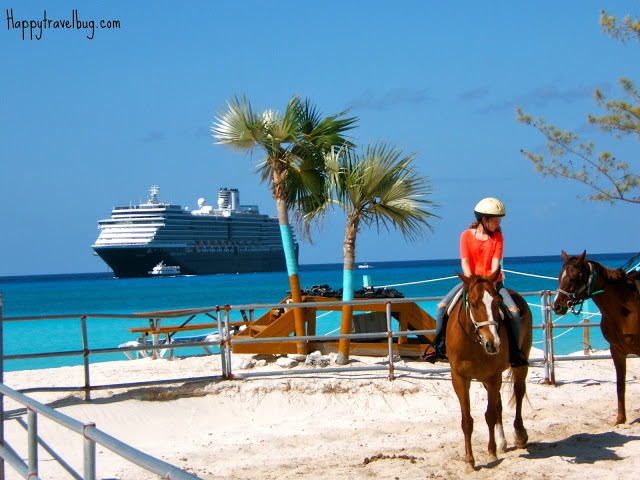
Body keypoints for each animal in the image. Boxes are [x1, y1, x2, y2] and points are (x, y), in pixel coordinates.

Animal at [444, 268, 528, 470]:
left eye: (497, 303)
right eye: (473, 304)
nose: (494, 344)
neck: (474, 342)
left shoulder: (494, 376)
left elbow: (489, 415)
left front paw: (491, 453)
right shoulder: (460, 378)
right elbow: (467, 421)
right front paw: (469, 460)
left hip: (519, 363)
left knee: (519, 391)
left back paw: (520, 435)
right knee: (498, 403)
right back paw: (503, 442)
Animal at [552, 251, 640, 424]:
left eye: (573, 278)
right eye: (559, 276)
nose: (556, 306)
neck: (625, 311)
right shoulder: (617, 351)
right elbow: (620, 385)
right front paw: (620, 419)